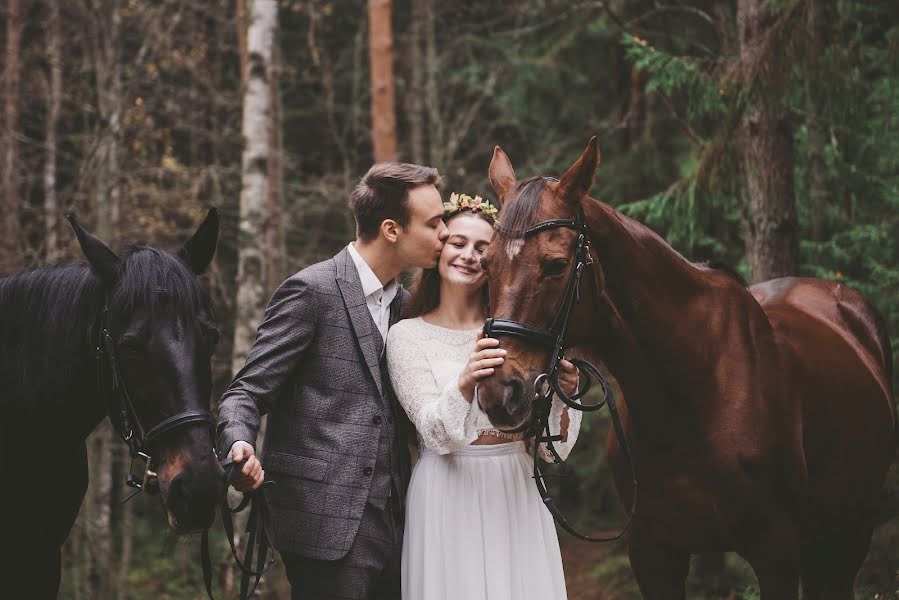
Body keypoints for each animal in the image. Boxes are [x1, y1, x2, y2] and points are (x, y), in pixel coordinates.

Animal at [474, 138, 896, 596]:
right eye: (486, 264)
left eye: (555, 265)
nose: (500, 391)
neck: (693, 392)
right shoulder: (653, 554)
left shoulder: (777, 553)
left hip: (849, 532)